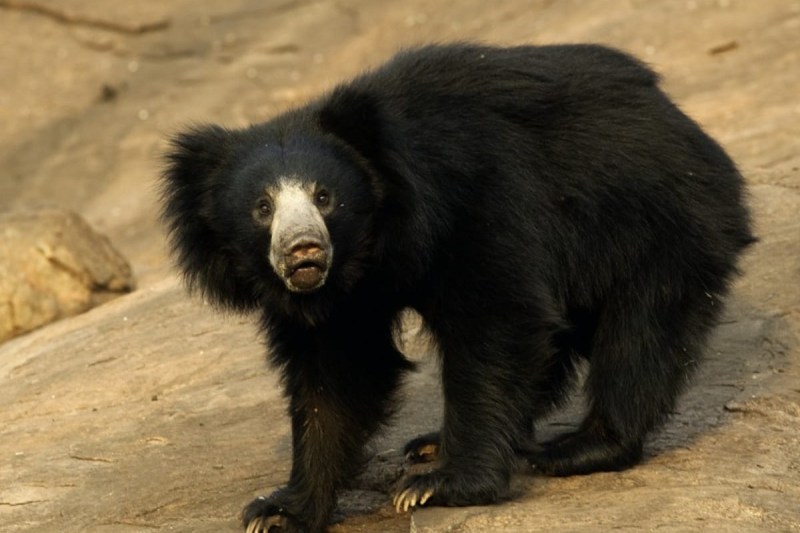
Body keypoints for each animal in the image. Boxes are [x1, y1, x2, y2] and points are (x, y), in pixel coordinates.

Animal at [160, 43, 754, 533]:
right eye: (262, 207)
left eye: (324, 196)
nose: (303, 252)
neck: (373, 244)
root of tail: (682, 120)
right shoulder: (341, 300)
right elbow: (337, 374)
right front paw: (279, 511)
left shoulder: (477, 199)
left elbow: (495, 320)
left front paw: (437, 488)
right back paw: (434, 443)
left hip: (658, 219)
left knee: (641, 334)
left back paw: (579, 447)